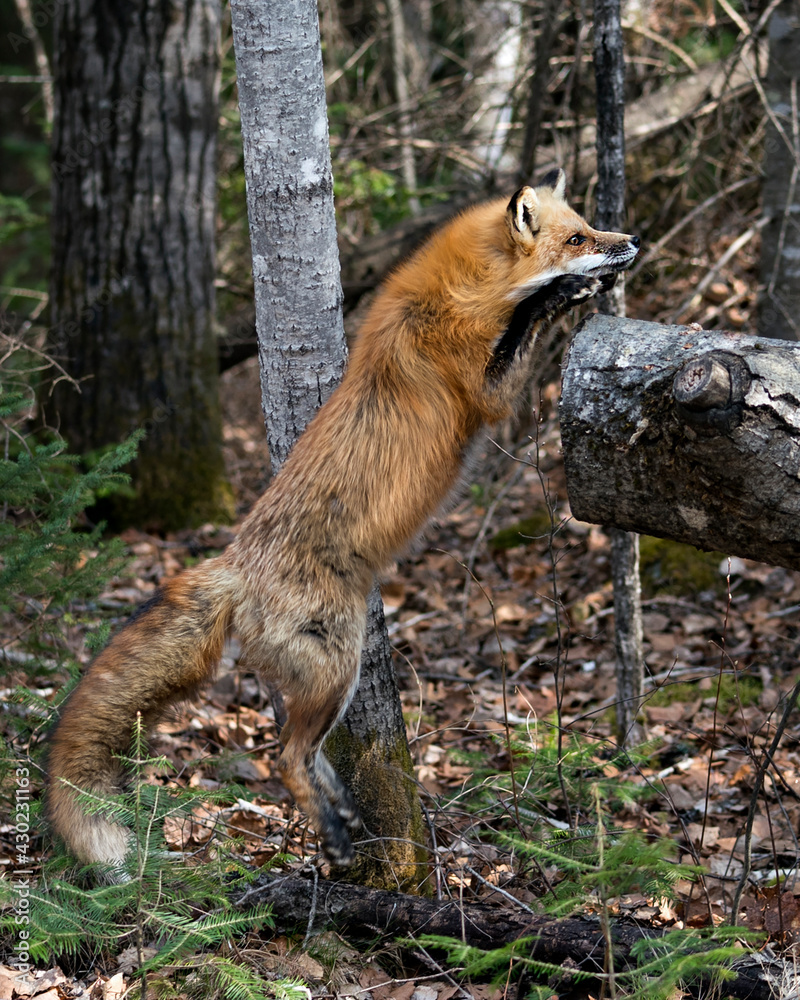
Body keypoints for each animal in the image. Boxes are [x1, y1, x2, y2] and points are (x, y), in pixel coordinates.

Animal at [47, 169, 639, 869]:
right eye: (578, 238)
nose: (631, 240)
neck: (462, 296)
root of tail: (233, 564)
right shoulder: (489, 393)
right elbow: (524, 324)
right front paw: (562, 293)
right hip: (336, 665)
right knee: (284, 757)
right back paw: (330, 832)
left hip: (335, 674)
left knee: (304, 753)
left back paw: (342, 811)